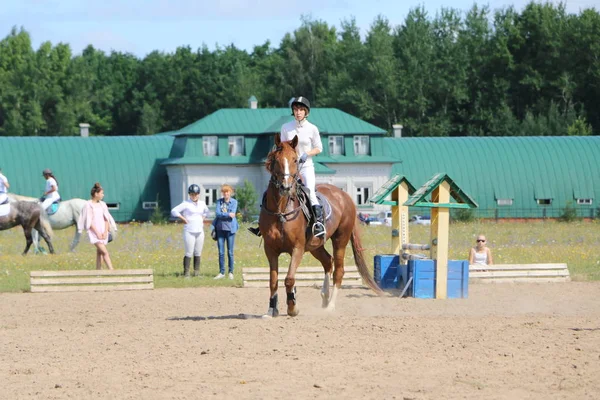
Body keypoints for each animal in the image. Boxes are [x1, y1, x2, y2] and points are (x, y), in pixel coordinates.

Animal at [258, 135, 380, 318]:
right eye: (276, 160)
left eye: (295, 160)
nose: (286, 187)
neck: (281, 210)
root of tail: (345, 195)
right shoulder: (270, 249)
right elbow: (273, 281)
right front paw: (272, 310)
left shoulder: (297, 248)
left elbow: (289, 279)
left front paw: (293, 307)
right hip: (315, 246)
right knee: (328, 261)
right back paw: (324, 297)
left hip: (340, 240)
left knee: (338, 270)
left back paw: (330, 306)